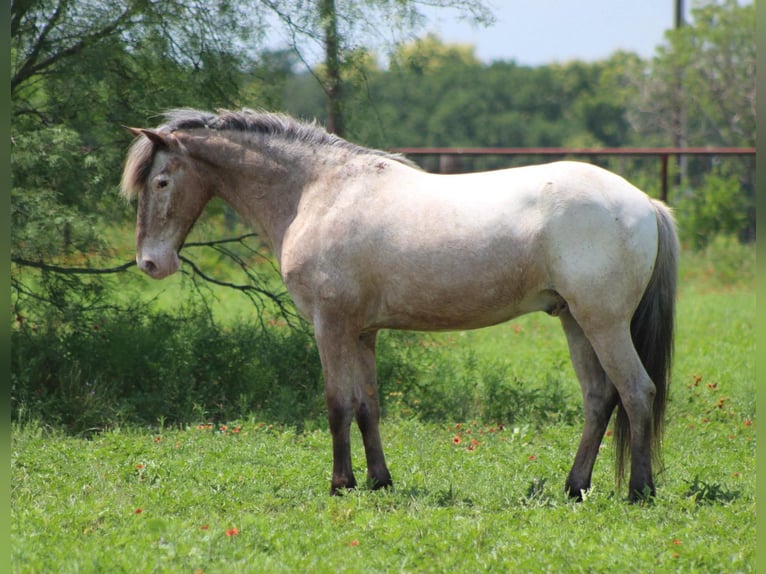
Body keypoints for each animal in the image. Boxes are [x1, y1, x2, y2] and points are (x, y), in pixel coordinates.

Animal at [120, 108, 678, 502]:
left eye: (161, 181)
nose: (150, 263)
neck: (316, 192)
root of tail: (644, 203)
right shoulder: (364, 332)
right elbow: (368, 405)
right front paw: (378, 480)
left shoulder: (330, 326)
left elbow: (337, 404)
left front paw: (340, 484)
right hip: (575, 322)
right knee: (599, 399)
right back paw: (575, 486)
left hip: (603, 323)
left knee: (636, 392)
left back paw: (639, 491)